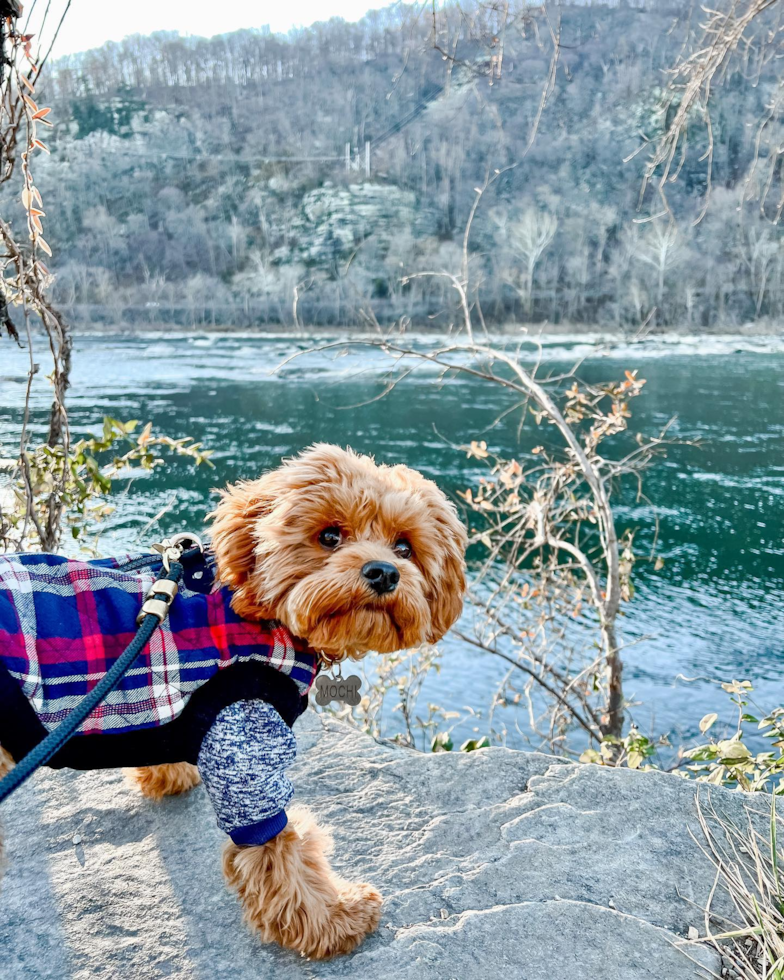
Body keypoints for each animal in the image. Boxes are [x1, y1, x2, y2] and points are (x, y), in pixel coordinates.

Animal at [0, 448, 466, 960]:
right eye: (329, 536)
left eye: (404, 547)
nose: (383, 572)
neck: (261, 612)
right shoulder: (245, 744)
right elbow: (279, 847)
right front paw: (333, 919)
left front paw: (168, 772)